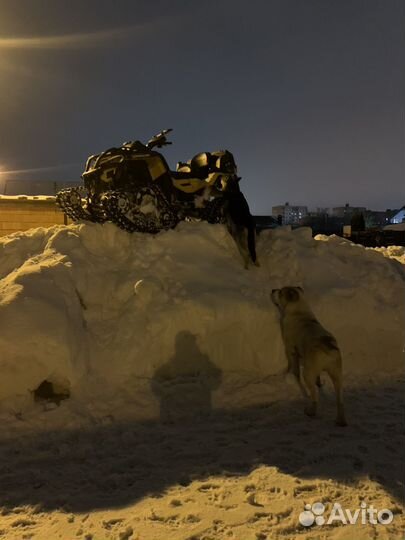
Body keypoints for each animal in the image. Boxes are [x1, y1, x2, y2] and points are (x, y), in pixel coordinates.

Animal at [270, 286, 346, 426]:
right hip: (337, 374)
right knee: (340, 400)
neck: (299, 309)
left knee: (315, 396)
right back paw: (341, 420)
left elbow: (291, 365)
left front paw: (288, 374)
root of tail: (328, 349)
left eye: (281, 292)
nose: (273, 290)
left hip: (308, 373)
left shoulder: (290, 349)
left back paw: (311, 411)